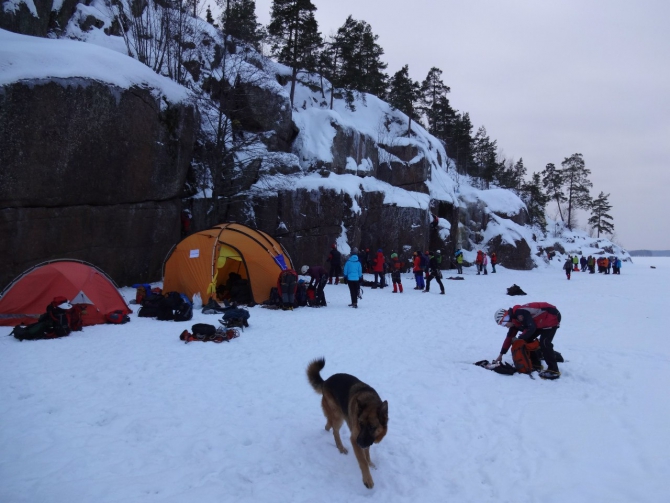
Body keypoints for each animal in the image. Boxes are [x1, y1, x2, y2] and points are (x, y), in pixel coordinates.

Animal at [306, 358, 388, 488]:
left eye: (371, 427)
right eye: (360, 424)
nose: (358, 442)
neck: (370, 402)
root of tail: (326, 381)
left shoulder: (365, 440)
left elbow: (367, 453)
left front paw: (370, 463)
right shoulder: (355, 438)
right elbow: (362, 461)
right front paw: (368, 479)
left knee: (328, 424)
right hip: (338, 416)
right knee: (335, 431)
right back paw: (341, 448)